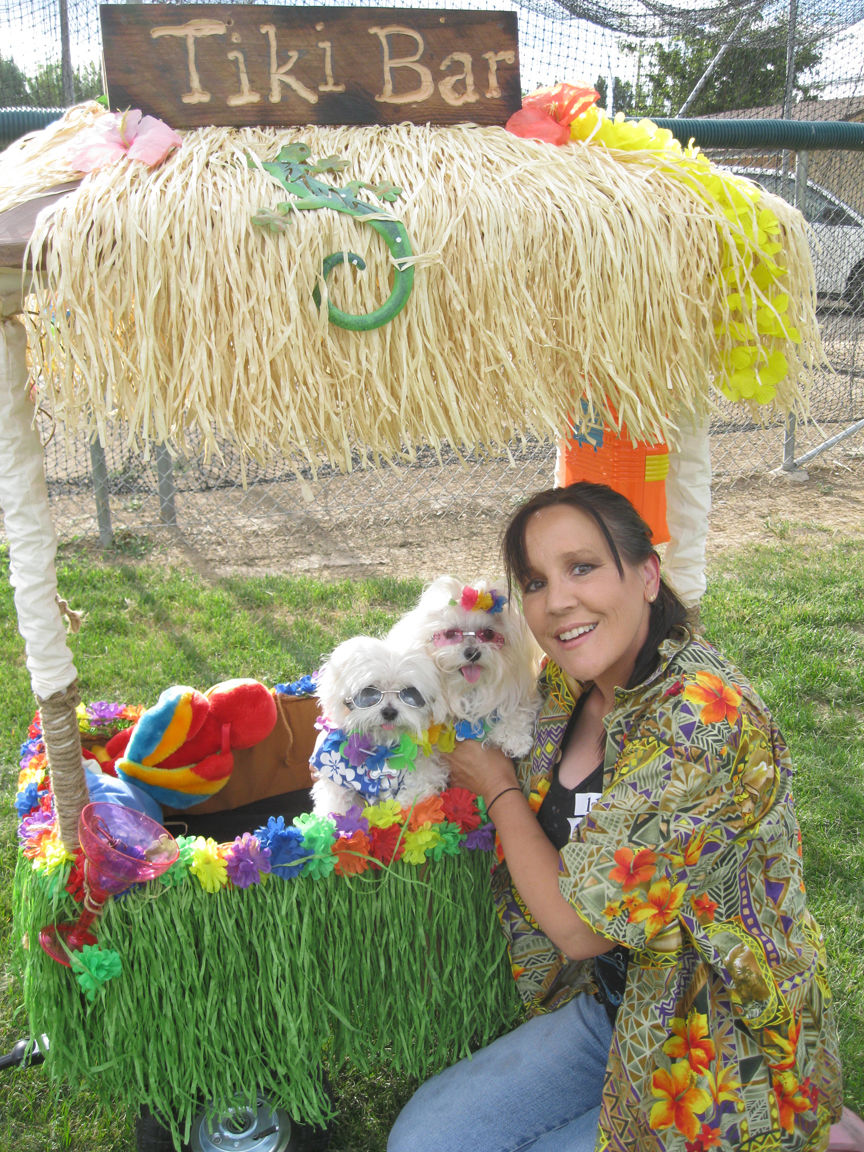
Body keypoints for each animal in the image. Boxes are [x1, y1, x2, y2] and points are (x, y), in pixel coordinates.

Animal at [311, 631, 449, 820]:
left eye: (410, 693)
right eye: (369, 692)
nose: (389, 712)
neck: (382, 749)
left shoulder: (424, 769)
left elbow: (415, 789)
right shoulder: (337, 777)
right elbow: (336, 803)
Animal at [387, 573, 541, 755]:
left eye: (488, 633)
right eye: (450, 634)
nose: (473, 653)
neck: (466, 692)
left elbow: (517, 710)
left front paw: (515, 738)